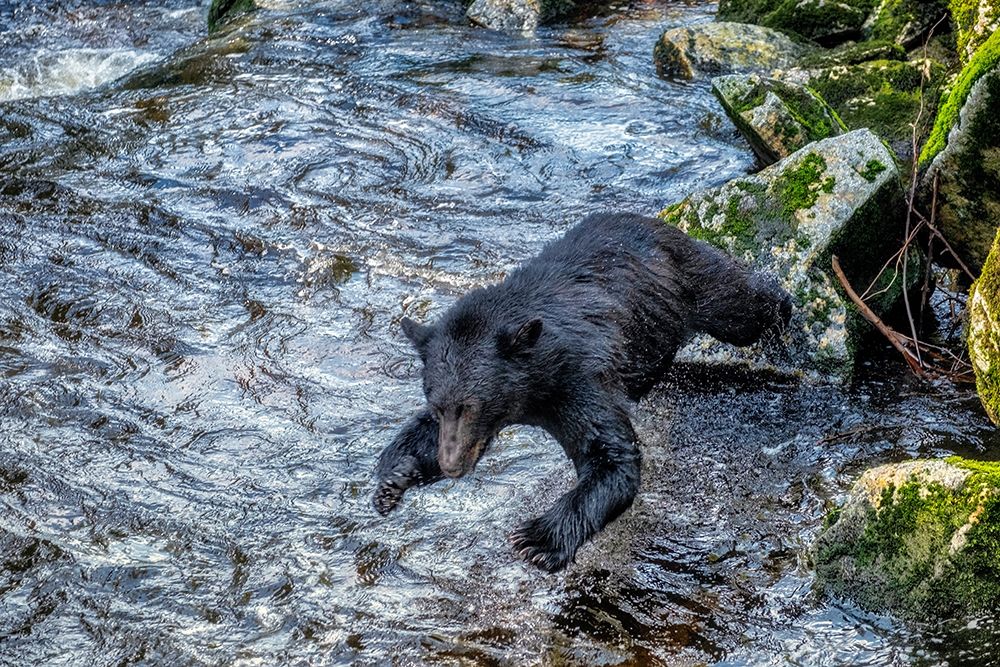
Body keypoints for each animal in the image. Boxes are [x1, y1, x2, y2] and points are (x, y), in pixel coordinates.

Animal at [372, 211, 791, 572]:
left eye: (472, 405)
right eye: (438, 405)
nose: (452, 465)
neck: (535, 383)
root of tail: (655, 220)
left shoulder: (577, 381)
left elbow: (611, 457)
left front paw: (538, 540)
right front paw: (395, 476)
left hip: (691, 283)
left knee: (738, 305)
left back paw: (783, 312)